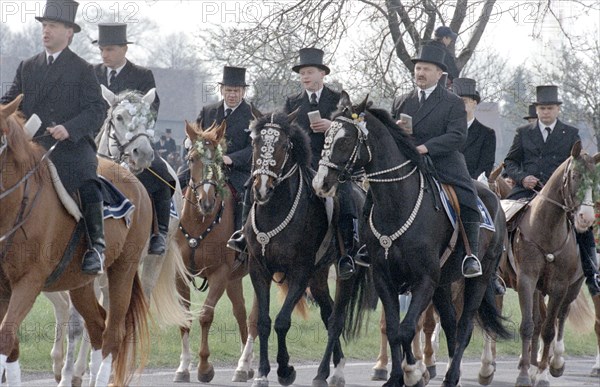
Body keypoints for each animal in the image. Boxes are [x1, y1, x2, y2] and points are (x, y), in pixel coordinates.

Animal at [0, 97, 152, 387]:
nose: (142, 153)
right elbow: (11, 345)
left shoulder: (29, 282)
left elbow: (6, 337)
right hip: (80, 284)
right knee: (96, 326)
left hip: (123, 272)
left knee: (112, 335)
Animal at [172, 122, 258, 384]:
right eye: (192, 158)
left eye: (219, 161)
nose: (207, 202)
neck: (199, 222)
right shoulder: (180, 275)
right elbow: (185, 317)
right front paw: (183, 367)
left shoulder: (219, 274)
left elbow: (206, 315)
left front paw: (204, 367)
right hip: (235, 279)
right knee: (241, 313)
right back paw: (246, 366)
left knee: (254, 317)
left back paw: (244, 365)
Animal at [310, 92, 510, 387]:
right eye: (326, 137)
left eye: (345, 140)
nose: (320, 183)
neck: (397, 203)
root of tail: (494, 198)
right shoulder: (386, 278)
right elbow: (395, 329)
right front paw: (397, 376)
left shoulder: (424, 279)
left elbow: (406, 329)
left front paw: (413, 372)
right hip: (444, 283)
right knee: (450, 324)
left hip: (478, 279)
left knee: (464, 327)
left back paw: (453, 375)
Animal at [508, 141, 596, 386]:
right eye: (575, 176)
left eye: (595, 180)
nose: (587, 218)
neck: (546, 227)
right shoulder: (527, 280)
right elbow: (529, 325)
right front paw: (524, 373)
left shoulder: (559, 286)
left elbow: (549, 329)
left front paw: (543, 374)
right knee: (541, 319)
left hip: (574, 286)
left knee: (561, 316)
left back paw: (555, 362)